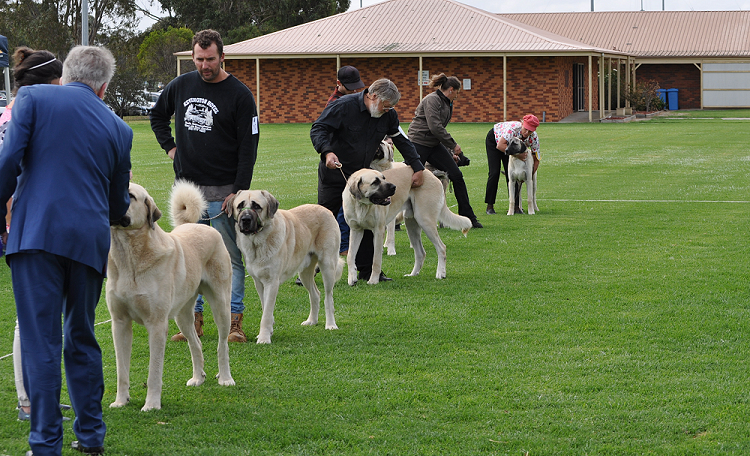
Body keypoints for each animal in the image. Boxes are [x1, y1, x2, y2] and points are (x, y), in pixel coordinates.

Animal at [106, 182, 235, 414]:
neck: (129, 257)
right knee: (195, 343)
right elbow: (122, 370)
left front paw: (151, 404)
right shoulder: (120, 323)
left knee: (222, 345)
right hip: (182, 316)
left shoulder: (157, 325)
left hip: (221, 305)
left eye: (130, 195)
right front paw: (121, 401)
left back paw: (225, 378)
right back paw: (198, 377)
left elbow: (154, 371)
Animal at [231, 188, 346, 342]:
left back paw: (331, 324)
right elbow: (265, 309)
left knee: (329, 297)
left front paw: (264, 338)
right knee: (315, 294)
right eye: (240, 206)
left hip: (327, 266)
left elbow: (266, 314)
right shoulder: (259, 283)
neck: (258, 243)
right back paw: (311, 321)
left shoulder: (272, 282)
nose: (245, 219)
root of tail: (325, 210)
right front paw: (268, 332)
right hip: (304, 273)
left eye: (256, 206)